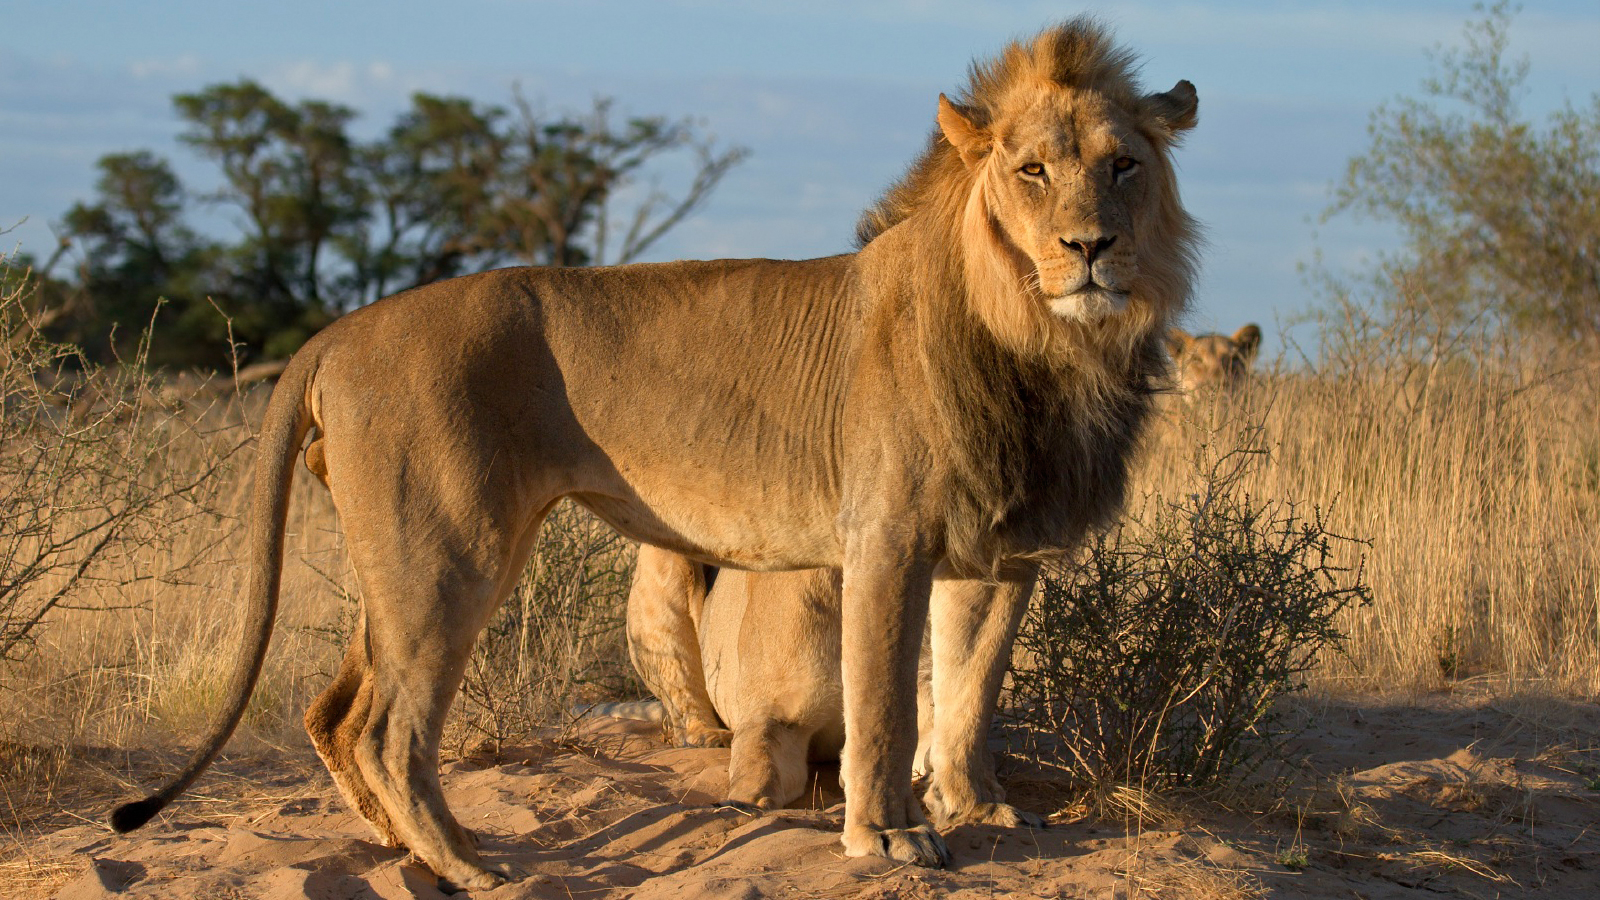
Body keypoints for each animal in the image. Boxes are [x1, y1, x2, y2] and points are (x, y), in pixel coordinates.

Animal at [110, 18, 1198, 891]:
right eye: (1030, 170)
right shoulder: (885, 538)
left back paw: (405, 854)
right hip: (448, 552)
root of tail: (341, 330)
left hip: (401, 563)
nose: (1091, 247)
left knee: (333, 713)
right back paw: (467, 863)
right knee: (387, 729)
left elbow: (969, 693)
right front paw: (888, 838)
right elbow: (887, 707)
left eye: (1123, 165)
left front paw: (976, 811)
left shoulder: (1000, 551)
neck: (1045, 341)